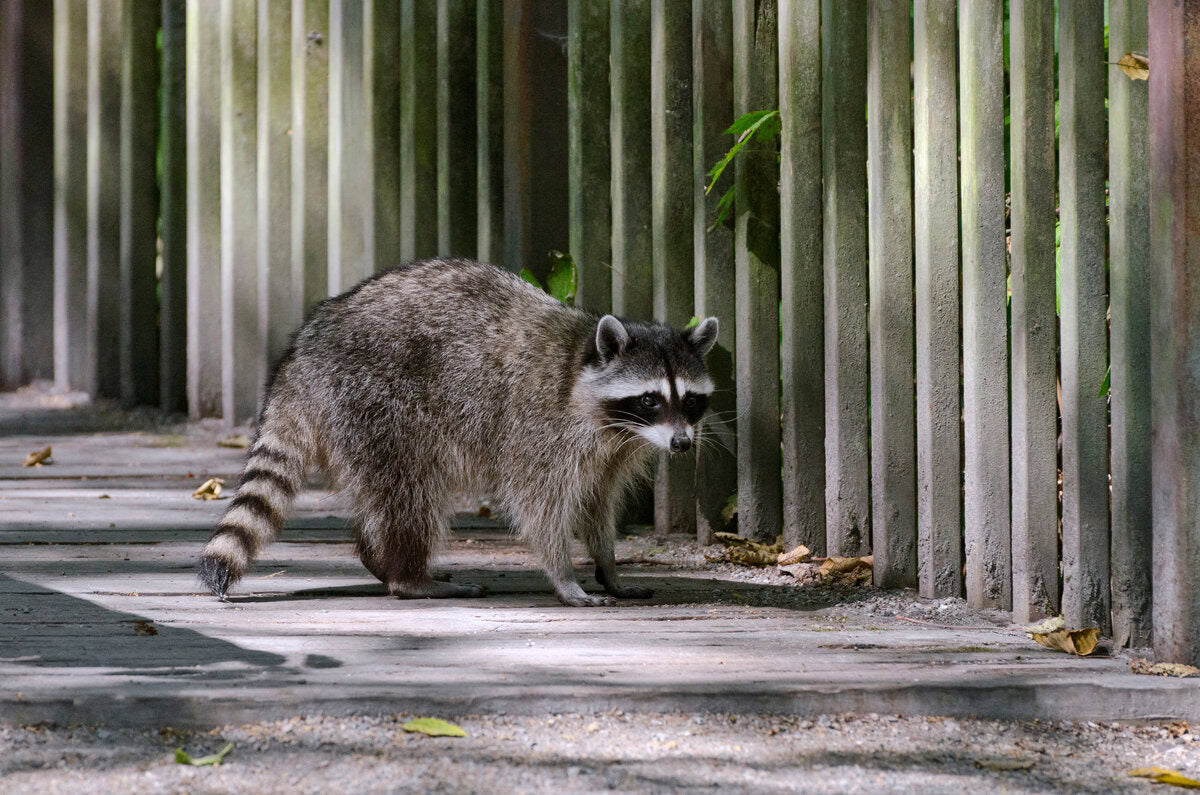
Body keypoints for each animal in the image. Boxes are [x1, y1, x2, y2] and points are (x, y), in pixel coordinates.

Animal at [197, 258, 719, 607]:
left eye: (691, 401)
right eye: (650, 399)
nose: (681, 444)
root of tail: (301, 354)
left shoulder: (611, 451)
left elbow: (597, 504)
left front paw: (607, 566)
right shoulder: (542, 428)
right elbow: (540, 505)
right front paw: (564, 575)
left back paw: (380, 559)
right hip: (377, 404)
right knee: (411, 492)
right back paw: (408, 576)